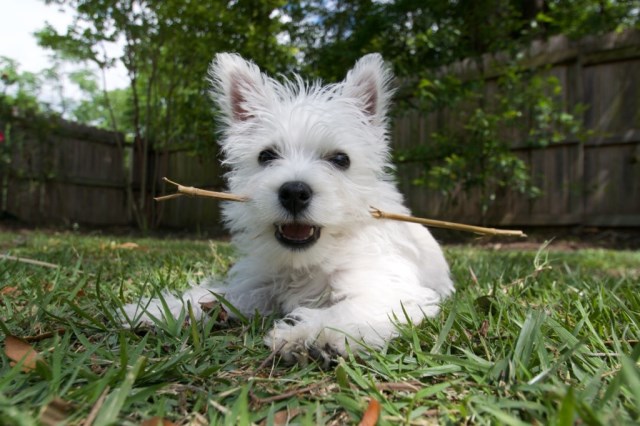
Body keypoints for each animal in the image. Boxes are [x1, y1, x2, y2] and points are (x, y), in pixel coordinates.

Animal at [124, 52, 456, 366]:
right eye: (266, 155)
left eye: (340, 159)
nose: (294, 192)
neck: (306, 263)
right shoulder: (257, 284)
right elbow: (217, 294)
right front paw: (159, 309)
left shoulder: (390, 288)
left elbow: (351, 307)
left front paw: (312, 334)